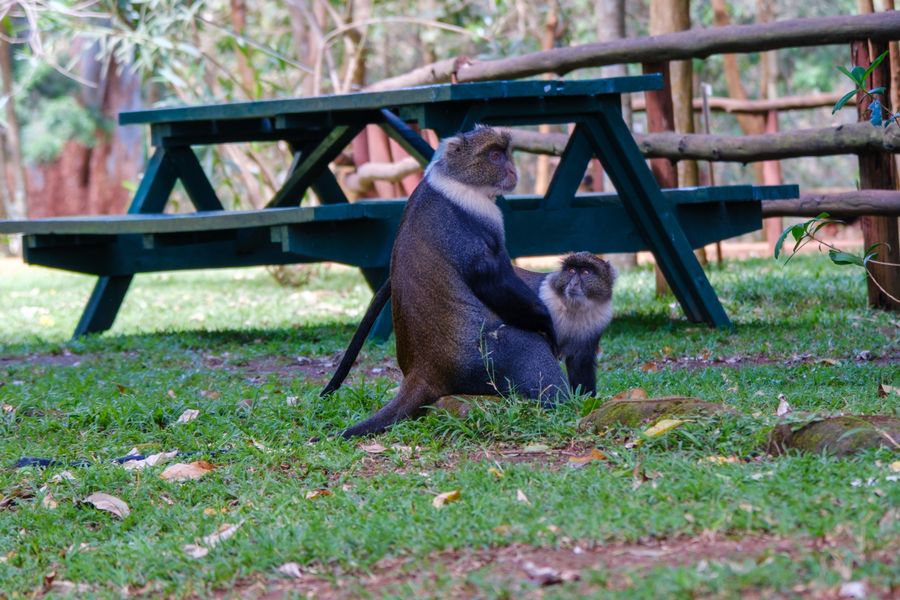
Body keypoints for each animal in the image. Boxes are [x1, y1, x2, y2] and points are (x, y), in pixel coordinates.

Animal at [321, 253, 616, 398]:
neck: (573, 306)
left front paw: (587, 399)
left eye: (586, 272)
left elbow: (581, 363)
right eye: (571, 270)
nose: (573, 282)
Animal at [337, 124, 565, 437]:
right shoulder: (479, 219)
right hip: (483, 360)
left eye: (506, 153)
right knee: (529, 346)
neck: (454, 178)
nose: (511, 168)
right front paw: (549, 326)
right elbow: (491, 278)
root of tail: (422, 373)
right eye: (495, 156)